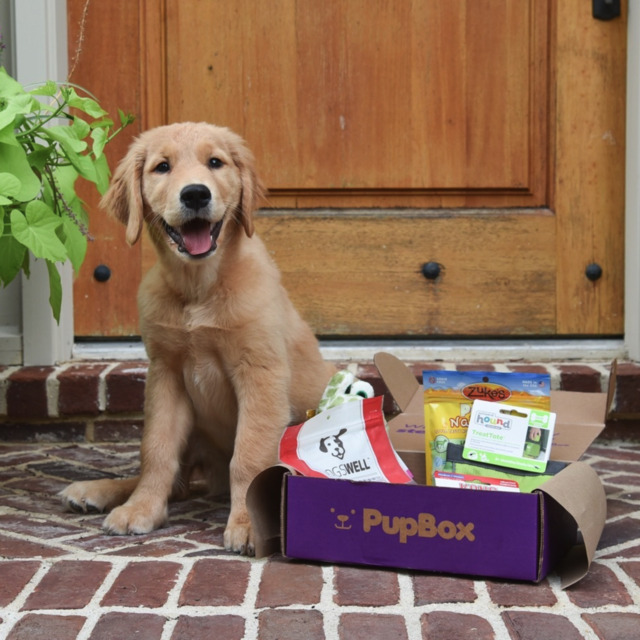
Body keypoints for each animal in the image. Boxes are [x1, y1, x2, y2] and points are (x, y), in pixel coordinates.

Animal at [60, 122, 335, 554]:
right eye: (162, 167)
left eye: (215, 162)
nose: (195, 194)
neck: (198, 290)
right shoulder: (165, 375)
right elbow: (155, 450)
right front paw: (141, 509)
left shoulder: (260, 373)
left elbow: (249, 454)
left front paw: (249, 523)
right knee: (177, 480)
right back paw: (99, 491)